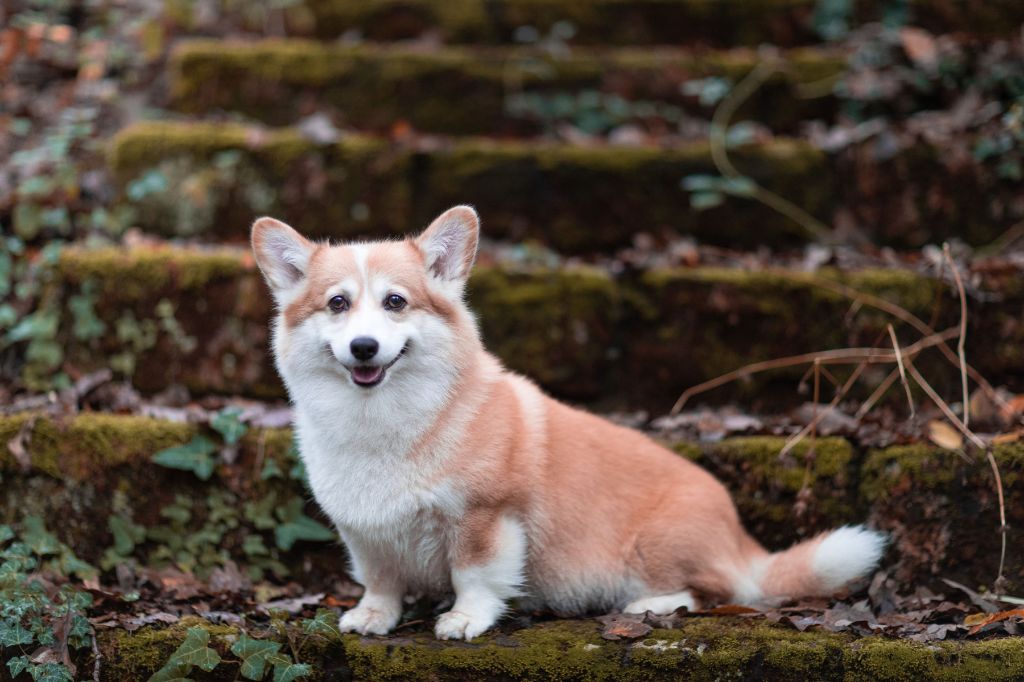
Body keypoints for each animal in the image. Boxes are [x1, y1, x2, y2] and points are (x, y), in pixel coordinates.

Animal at [249, 202, 888, 638]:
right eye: (337, 303)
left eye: (395, 302)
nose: (363, 348)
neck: (384, 422)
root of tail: (743, 541)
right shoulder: (365, 534)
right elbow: (381, 581)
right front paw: (373, 618)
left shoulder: (486, 519)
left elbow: (475, 577)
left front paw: (464, 620)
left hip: (657, 547)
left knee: (716, 592)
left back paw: (652, 605)